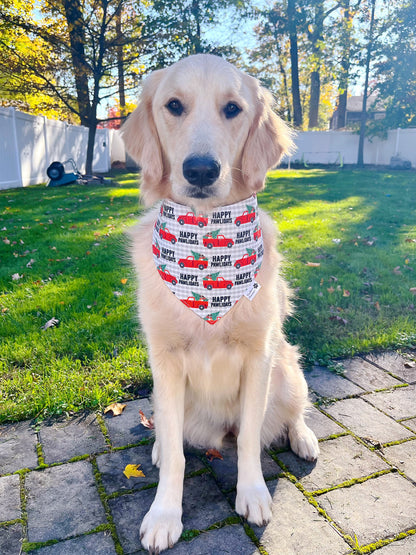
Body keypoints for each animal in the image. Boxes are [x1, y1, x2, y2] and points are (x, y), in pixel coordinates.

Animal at [122, 53, 320, 555]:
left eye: (233, 109)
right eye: (173, 105)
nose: (200, 170)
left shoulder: (259, 356)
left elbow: (250, 438)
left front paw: (252, 494)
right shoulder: (165, 360)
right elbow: (176, 452)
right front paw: (164, 514)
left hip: (288, 369)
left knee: (293, 412)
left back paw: (304, 437)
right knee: (171, 433)